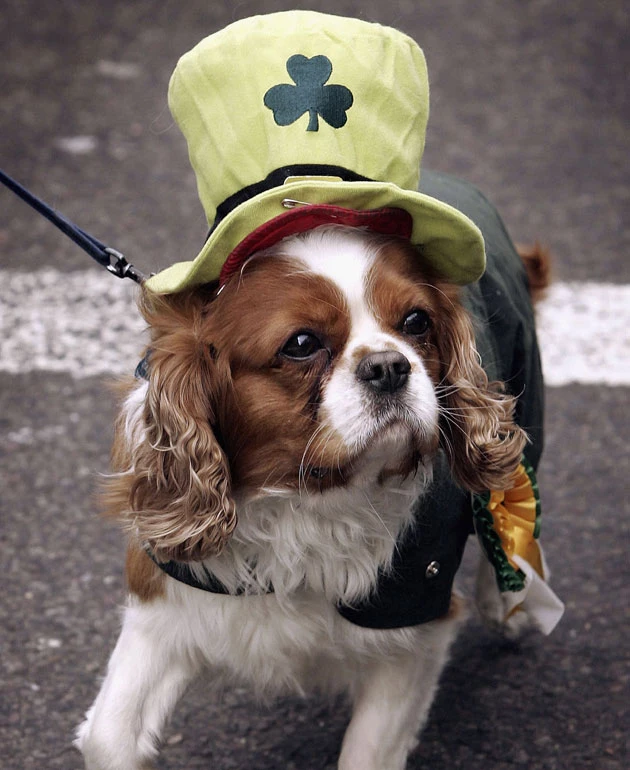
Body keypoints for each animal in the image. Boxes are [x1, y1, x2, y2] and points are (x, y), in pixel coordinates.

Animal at [78, 219, 556, 764]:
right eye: (301, 343)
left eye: (417, 322)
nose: (389, 366)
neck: (306, 504)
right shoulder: (166, 608)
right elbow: (107, 738)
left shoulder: (413, 633)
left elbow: (367, 752)